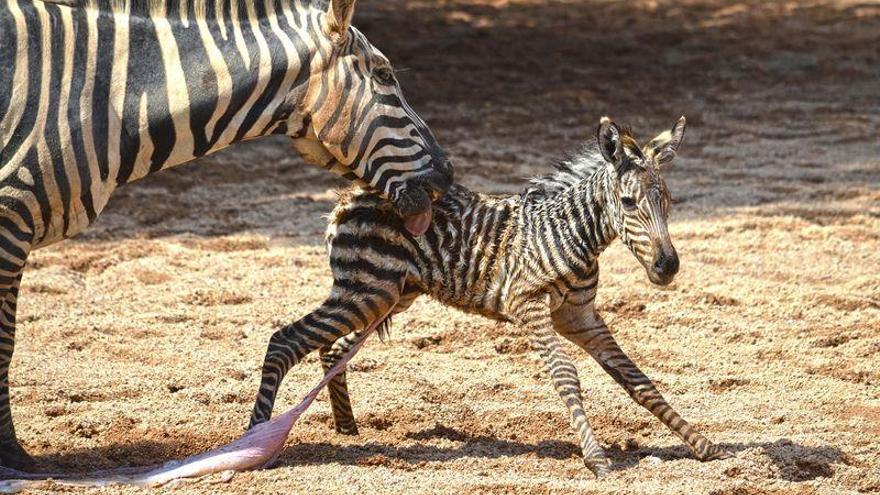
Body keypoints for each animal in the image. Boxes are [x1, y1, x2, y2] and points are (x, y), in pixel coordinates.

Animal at [0, 0, 454, 468]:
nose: (448, 173)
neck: (100, 98)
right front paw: (12, 453)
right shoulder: (11, 219)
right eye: (383, 75)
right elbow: (5, 343)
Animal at [251, 116, 732, 476]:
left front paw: (702, 444)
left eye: (667, 200)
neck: (574, 235)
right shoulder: (530, 307)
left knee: (332, 351)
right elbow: (566, 376)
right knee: (285, 341)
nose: (667, 267)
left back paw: (347, 428)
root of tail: (352, 194)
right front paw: (596, 458)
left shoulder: (580, 316)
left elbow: (637, 380)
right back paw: (256, 442)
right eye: (629, 204)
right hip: (366, 291)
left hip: (387, 295)